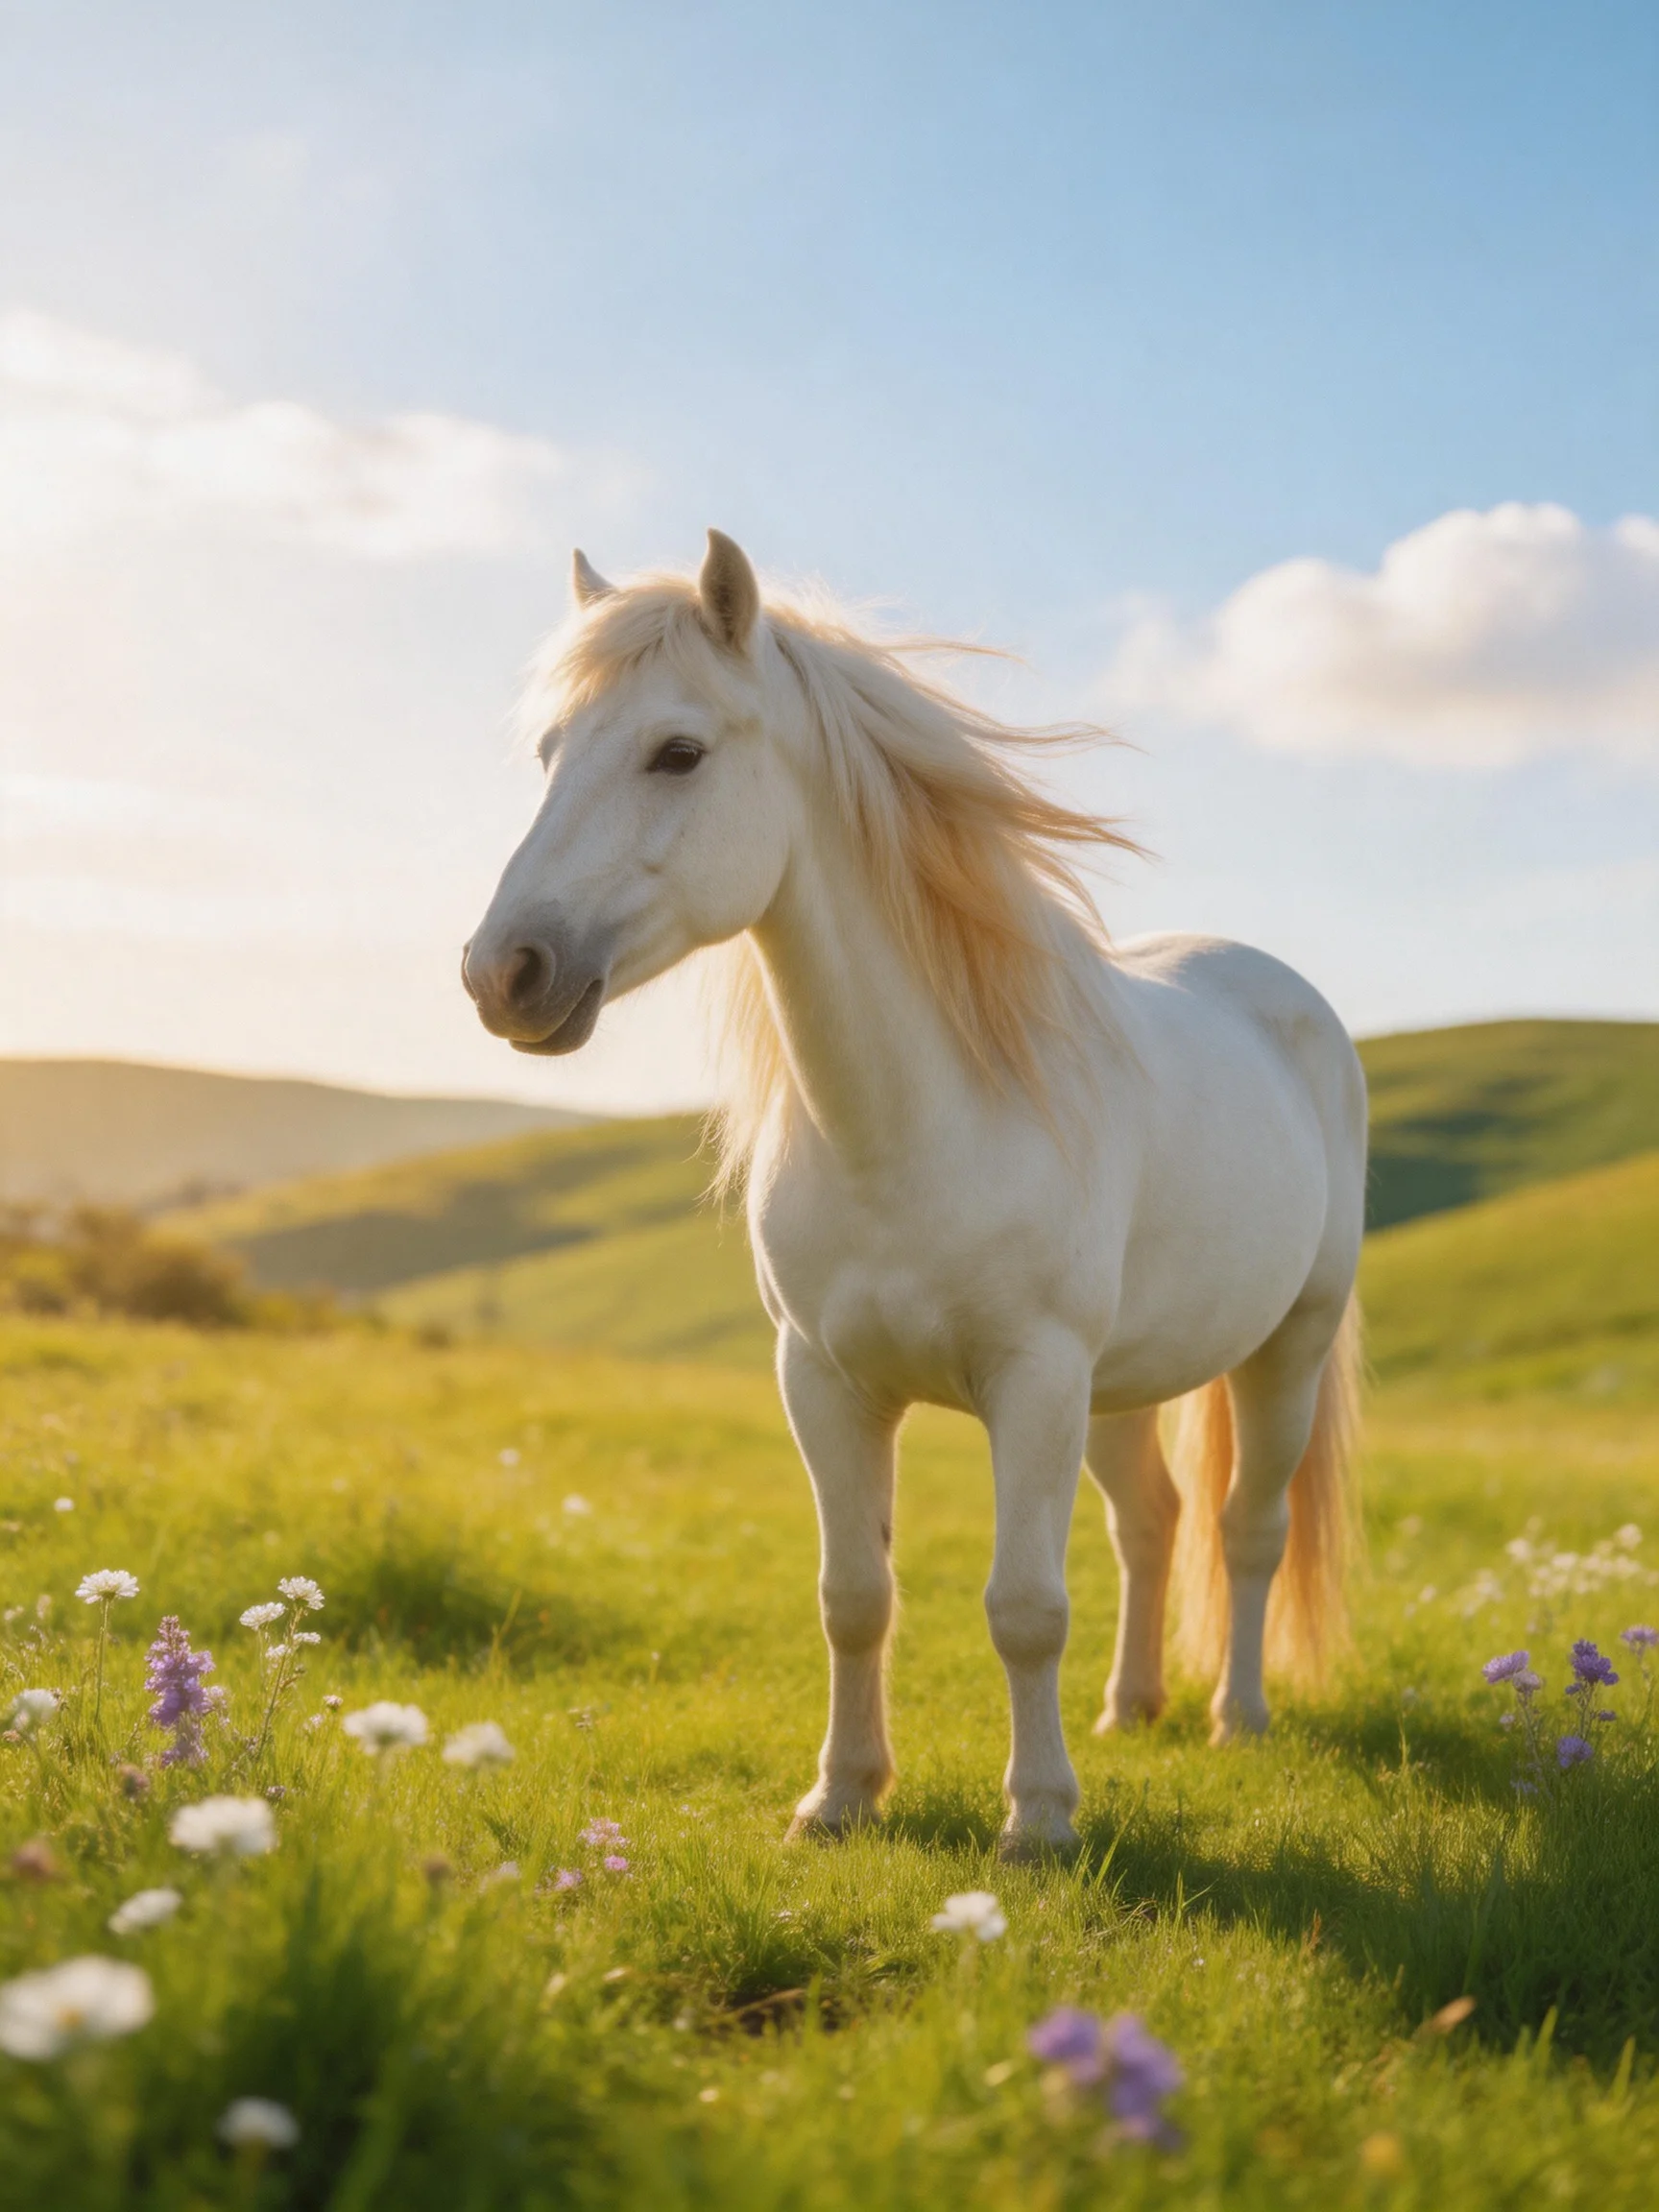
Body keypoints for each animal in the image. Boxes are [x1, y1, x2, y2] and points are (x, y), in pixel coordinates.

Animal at [463, 531, 1366, 1858]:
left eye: (678, 751)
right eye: (547, 755)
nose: (503, 973)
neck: (912, 1128)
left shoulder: (1034, 1379)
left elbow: (1025, 1605)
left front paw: (1037, 1821)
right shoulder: (825, 1382)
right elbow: (854, 1595)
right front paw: (841, 1797)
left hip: (1282, 1350)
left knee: (1248, 1529)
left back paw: (1234, 1719)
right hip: (1123, 1384)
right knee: (1150, 1522)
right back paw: (1131, 1708)